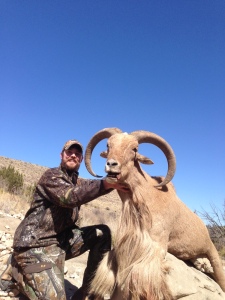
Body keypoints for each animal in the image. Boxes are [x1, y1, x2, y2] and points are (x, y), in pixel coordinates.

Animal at [83, 127, 224, 300]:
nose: (111, 165)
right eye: (108, 145)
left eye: (134, 149)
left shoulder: (156, 246)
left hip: (212, 253)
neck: (147, 196)